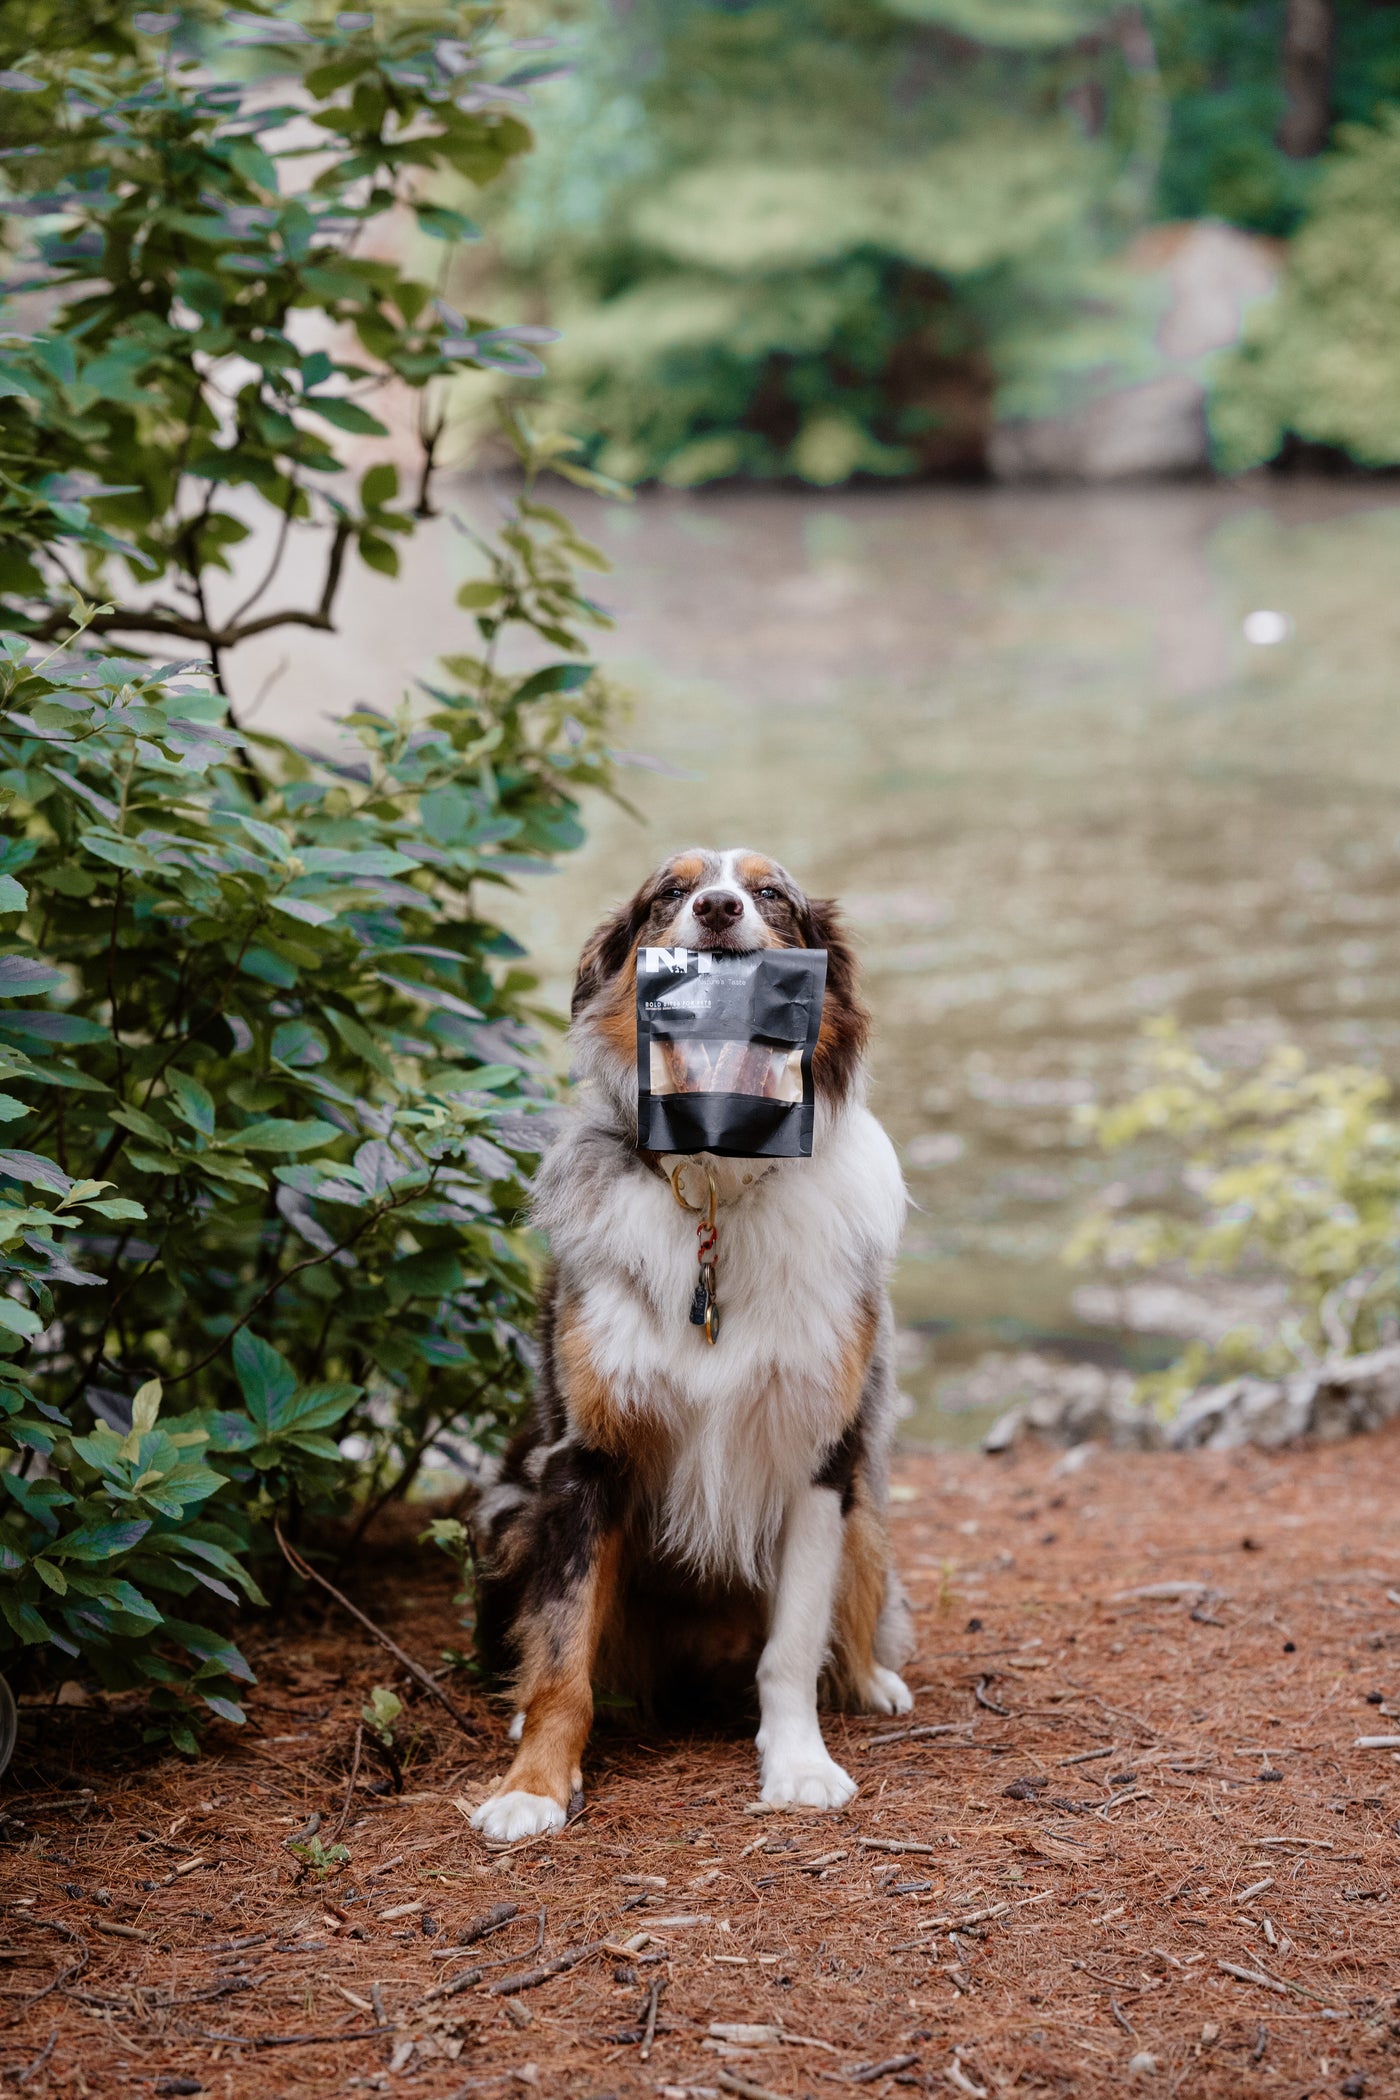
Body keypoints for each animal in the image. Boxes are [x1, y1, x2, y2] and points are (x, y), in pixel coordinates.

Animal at [465, 848, 915, 1839]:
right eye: (668, 893)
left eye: (771, 893)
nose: (716, 908)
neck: (717, 1176)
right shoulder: (582, 1458)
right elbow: (563, 1649)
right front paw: (532, 1784)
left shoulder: (819, 1456)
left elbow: (792, 1649)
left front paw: (799, 1766)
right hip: (507, 1511)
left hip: (866, 1504)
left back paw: (871, 1681)